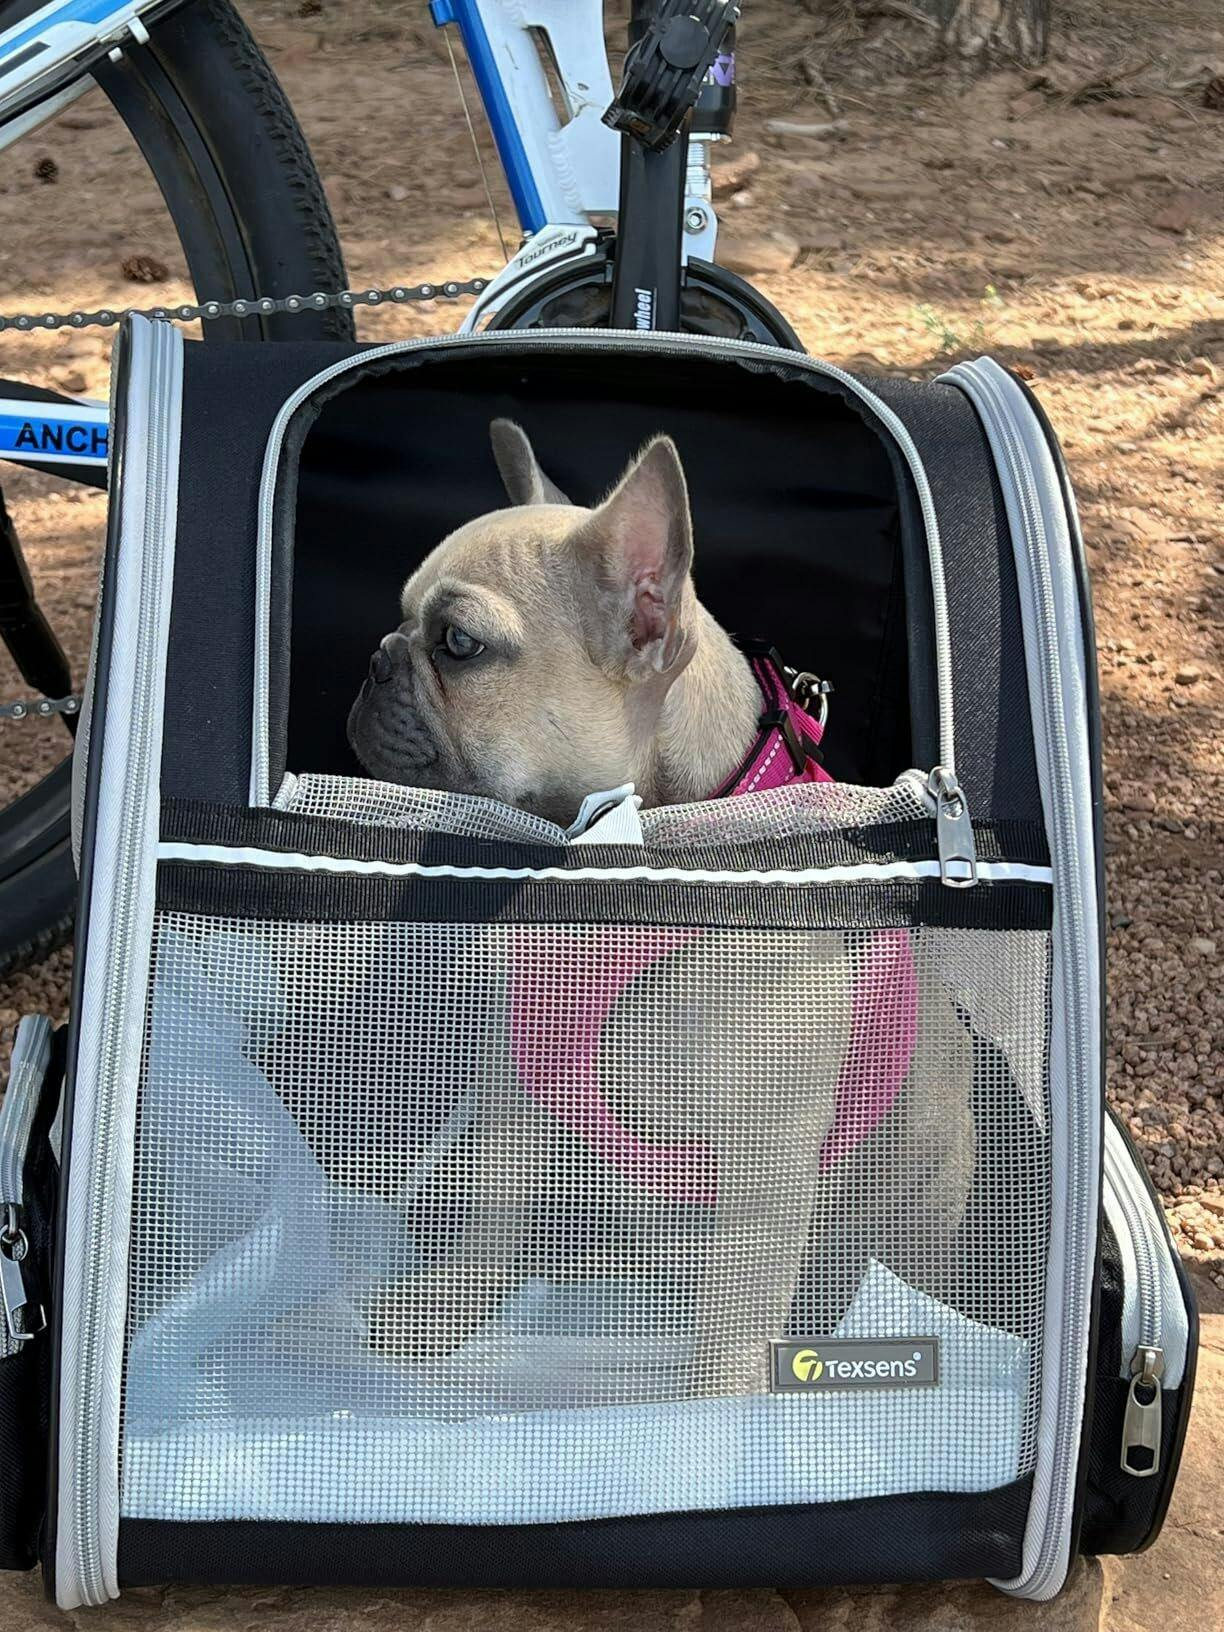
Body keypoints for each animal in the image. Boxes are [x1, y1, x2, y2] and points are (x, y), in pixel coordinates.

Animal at [347, 424, 972, 1397]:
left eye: (456, 643)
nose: (376, 656)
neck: (628, 873)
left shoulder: (762, 1178)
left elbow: (731, 1332)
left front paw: (708, 1423)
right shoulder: (519, 1089)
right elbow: (493, 1211)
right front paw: (446, 1307)